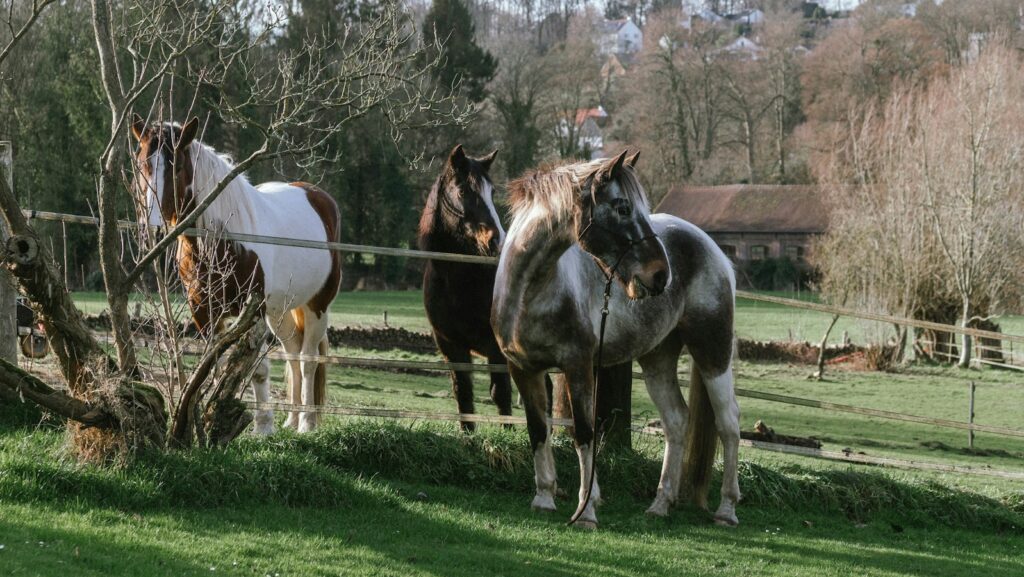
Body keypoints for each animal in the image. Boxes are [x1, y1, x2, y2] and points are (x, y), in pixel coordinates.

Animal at [130, 115, 342, 434]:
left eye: (176, 166)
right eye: (142, 163)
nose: (151, 225)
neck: (224, 240)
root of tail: (318, 197)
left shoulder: (252, 312)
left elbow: (258, 370)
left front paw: (263, 427)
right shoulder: (203, 311)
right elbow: (214, 366)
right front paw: (206, 420)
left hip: (316, 306)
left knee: (308, 360)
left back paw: (306, 423)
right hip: (279, 311)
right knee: (293, 353)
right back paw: (291, 419)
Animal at [417, 145, 513, 431]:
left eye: (492, 192)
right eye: (462, 192)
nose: (496, 241)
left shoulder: (496, 347)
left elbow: (501, 392)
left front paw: (508, 433)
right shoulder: (451, 345)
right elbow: (463, 391)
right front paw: (468, 433)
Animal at [491, 151, 741, 529]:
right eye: (622, 207)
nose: (660, 274)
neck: (530, 291)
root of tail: (711, 248)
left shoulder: (578, 366)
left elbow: (583, 433)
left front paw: (586, 511)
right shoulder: (523, 368)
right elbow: (538, 430)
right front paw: (544, 498)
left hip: (712, 349)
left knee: (729, 423)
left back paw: (726, 509)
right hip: (657, 358)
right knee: (676, 421)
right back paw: (660, 504)